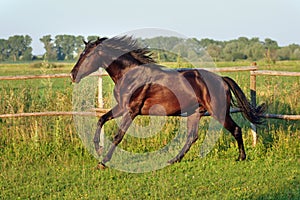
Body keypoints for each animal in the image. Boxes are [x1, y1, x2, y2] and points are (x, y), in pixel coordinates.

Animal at [70, 36, 264, 169]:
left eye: (86, 55)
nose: (72, 75)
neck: (131, 75)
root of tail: (222, 79)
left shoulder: (132, 110)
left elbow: (118, 136)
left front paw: (102, 162)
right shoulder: (121, 107)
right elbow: (101, 119)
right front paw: (98, 148)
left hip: (218, 111)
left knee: (235, 129)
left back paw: (241, 157)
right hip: (195, 112)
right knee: (192, 137)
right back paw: (173, 160)